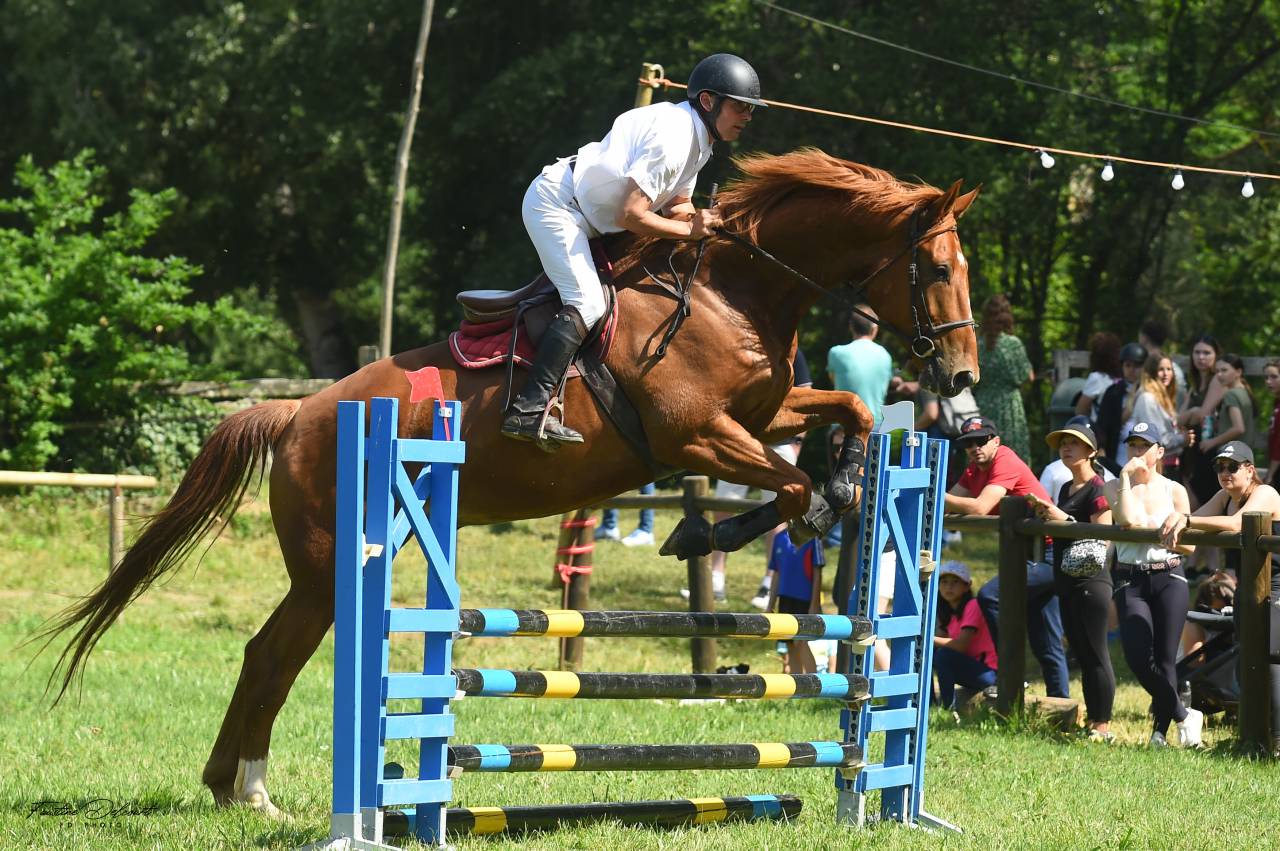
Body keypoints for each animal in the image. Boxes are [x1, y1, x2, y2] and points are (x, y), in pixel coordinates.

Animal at [40, 147, 980, 815]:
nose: (963, 379)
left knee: (264, 652)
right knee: (274, 654)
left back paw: (234, 787)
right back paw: (256, 792)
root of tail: (303, 410)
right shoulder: (697, 434)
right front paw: (733, 525)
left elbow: (849, 418)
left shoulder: (763, 413)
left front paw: (835, 487)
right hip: (327, 565)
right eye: (936, 270)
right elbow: (787, 488)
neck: (731, 291)